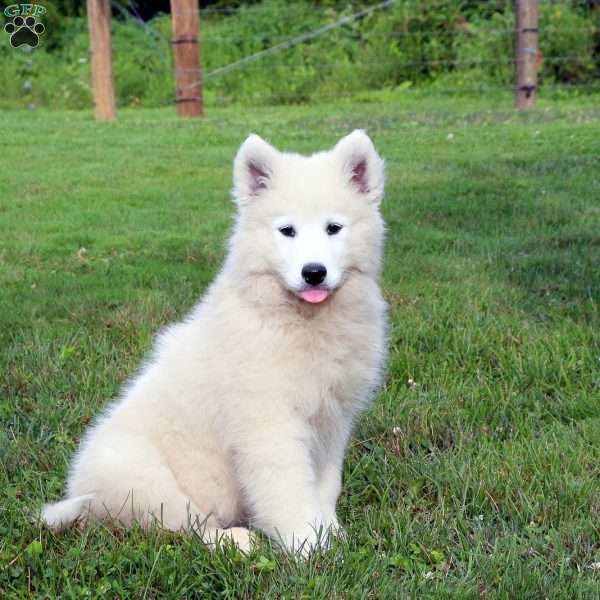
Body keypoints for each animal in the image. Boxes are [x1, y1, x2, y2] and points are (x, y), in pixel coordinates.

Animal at [42, 130, 390, 552]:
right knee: (186, 526)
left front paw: (332, 534)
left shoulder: (332, 421)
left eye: (333, 228)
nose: (314, 273)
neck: (301, 321)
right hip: (145, 478)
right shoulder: (269, 425)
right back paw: (237, 541)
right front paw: (309, 549)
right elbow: (289, 492)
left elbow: (325, 486)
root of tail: (85, 497)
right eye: (287, 230)